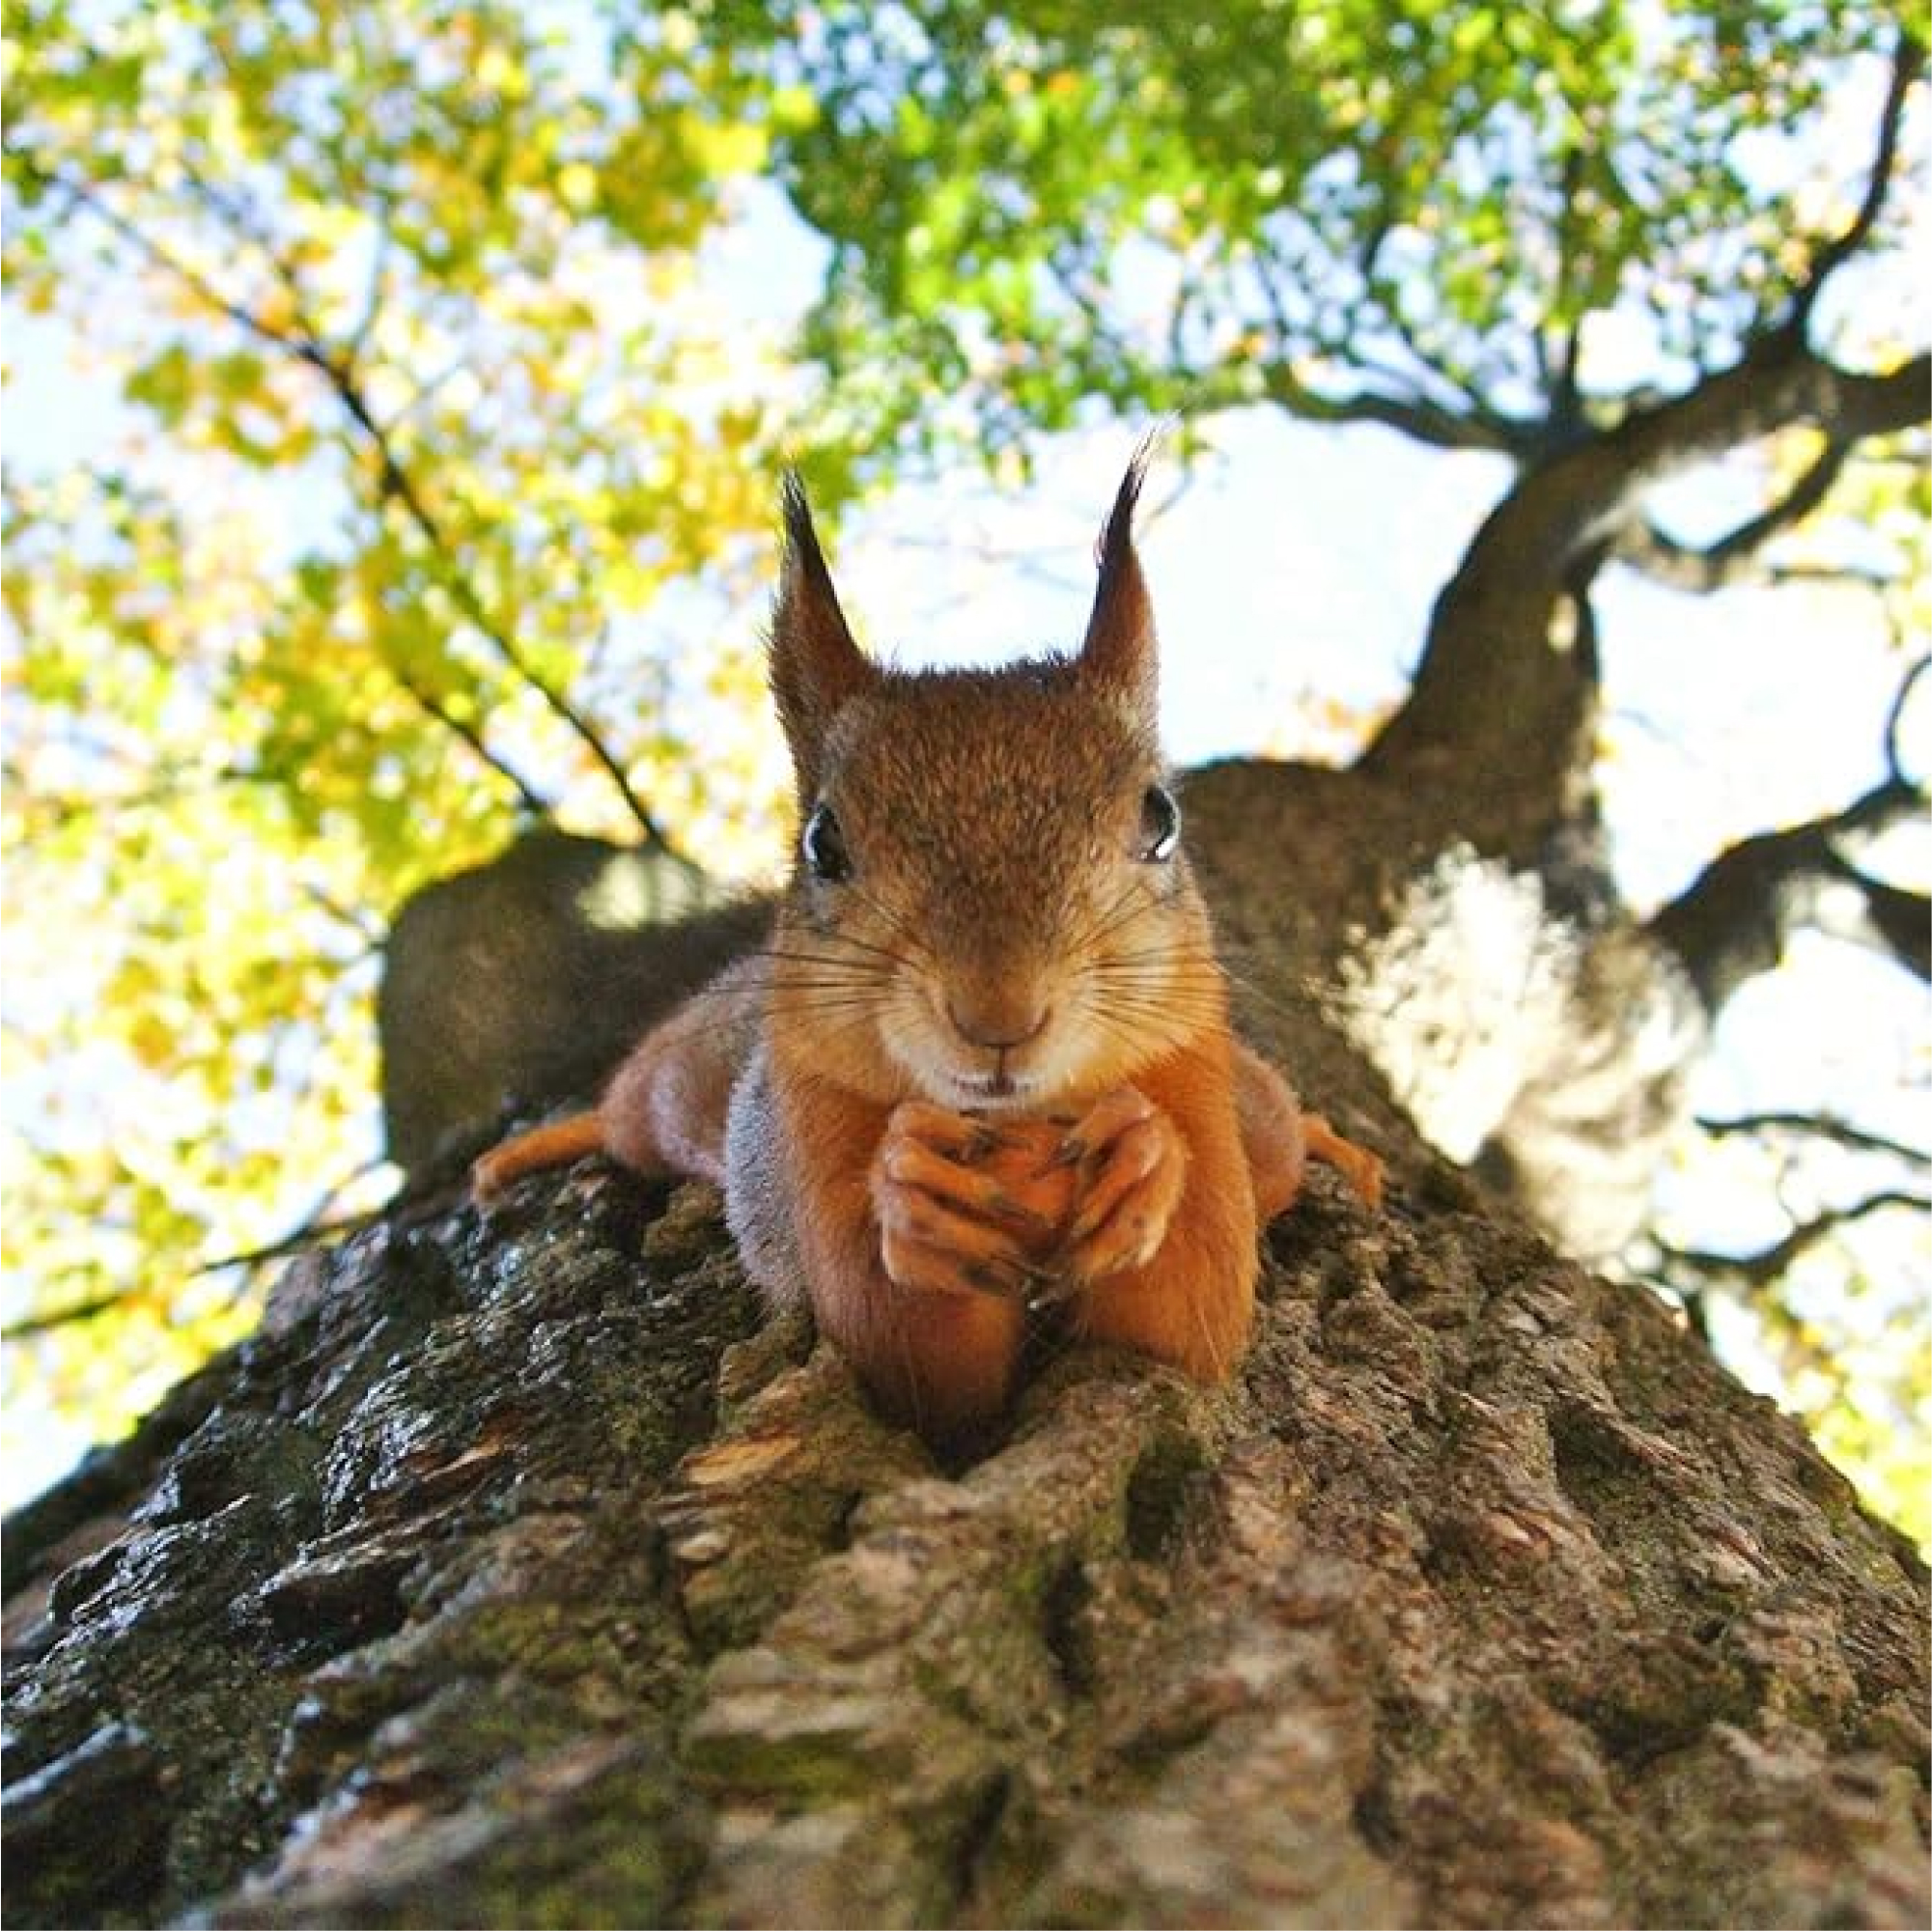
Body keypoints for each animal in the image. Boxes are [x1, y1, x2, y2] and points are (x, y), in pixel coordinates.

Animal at [472, 457, 1383, 1443]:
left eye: (1161, 818)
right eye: (823, 843)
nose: (998, 1015)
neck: (1017, 1128)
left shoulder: (1193, 1082)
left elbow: (1188, 1317)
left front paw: (1144, 1158)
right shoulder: (811, 1127)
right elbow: (906, 1353)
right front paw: (914, 1197)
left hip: (1254, 1113)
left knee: (1281, 1134)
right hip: (676, 1089)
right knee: (624, 1115)